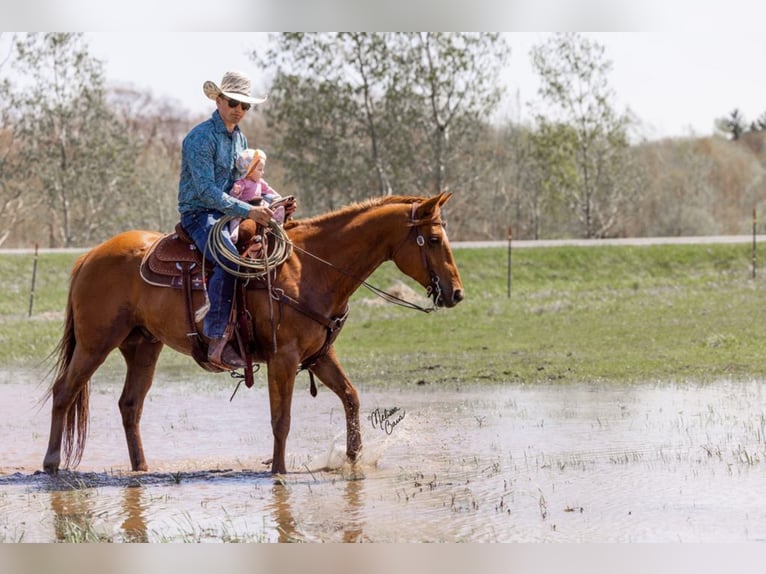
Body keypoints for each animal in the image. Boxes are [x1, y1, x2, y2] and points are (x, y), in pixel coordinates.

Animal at [42, 194, 464, 476]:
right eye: (434, 240)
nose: (456, 293)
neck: (310, 268)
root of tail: (90, 256)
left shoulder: (319, 355)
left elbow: (351, 397)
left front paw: (353, 460)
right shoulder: (284, 358)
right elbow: (282, 419)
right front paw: (278, 471)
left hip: (143, 346)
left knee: (130, 405)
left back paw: (141, 467)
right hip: (97, 343)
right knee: (64, 391)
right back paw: (51, 463)